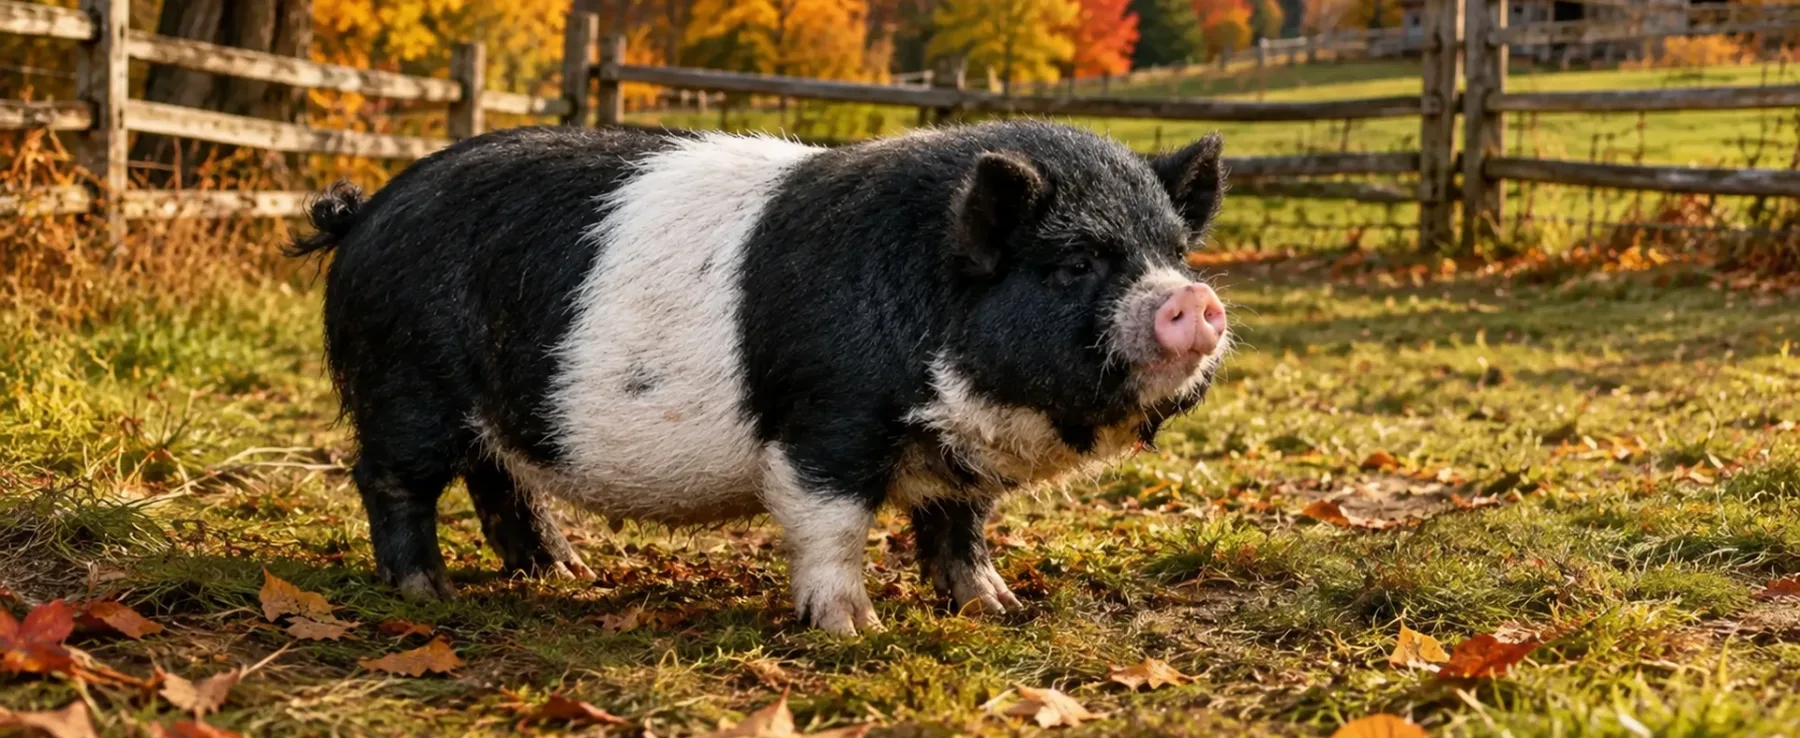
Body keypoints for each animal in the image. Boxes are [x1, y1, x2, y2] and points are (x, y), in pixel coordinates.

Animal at [287, 120, 1230, 635]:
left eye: (1174, 252)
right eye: (1073, 265)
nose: (1195, 299)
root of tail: (363, 214)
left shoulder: (960, 457)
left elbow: (959, 527)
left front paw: (996, 608)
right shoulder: (827, 419)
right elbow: (832, 523)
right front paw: (853, 630)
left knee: (499, 478)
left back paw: (564, 575)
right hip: (405, 379)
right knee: (388, 478)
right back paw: (427, 590)